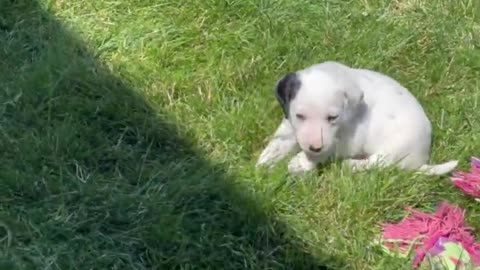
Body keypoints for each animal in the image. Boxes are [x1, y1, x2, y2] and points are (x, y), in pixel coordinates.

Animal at [256, 61, 460, 175]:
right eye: (299, 115)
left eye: (332, 117)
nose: (314, 147)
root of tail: (421, 160)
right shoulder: (290, 125)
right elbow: (279, 142)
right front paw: (265, 162)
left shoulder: (348, 140)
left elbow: (325, 152)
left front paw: (302, 162)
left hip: (395, 150)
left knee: (378, 164)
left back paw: (350, 165)